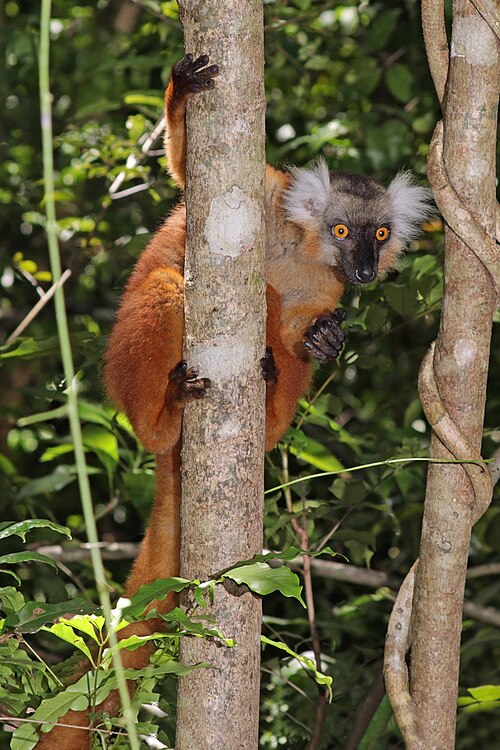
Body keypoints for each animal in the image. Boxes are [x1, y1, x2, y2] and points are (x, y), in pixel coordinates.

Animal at [34, 54, 432, 749]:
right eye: (344, 230)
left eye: (381, 234)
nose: (364, 268)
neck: (299, 248)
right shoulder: (264, 197)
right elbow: (185, 170)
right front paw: (184, 89)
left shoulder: (325, 289)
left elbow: (306, 325)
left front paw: (324, 340)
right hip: (133, 372)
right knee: (173, 284)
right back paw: (165, 413)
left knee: (274, 328)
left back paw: (272, 392)